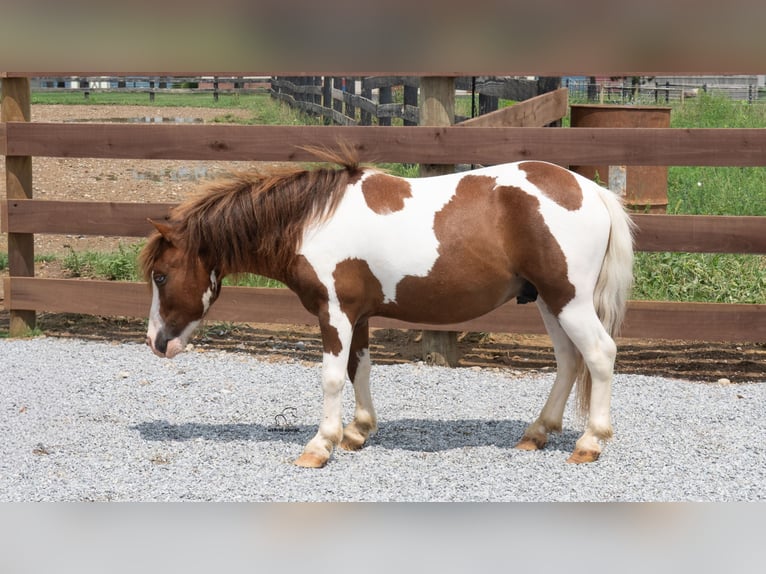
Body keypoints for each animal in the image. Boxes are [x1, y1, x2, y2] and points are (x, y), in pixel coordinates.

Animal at [139, 150, 634, 468]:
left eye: (160, 275)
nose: (156, 342)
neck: (311, 223)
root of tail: (590, 190)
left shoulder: (334, 313)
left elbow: (332, 376)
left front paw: (320, 446)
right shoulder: (357, 316)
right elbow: (359, 368)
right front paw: (357, 432)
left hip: (568, 300)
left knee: (599, 355)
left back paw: (590, 443)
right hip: (550, 301)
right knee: (569, 360)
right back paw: (537, 433)